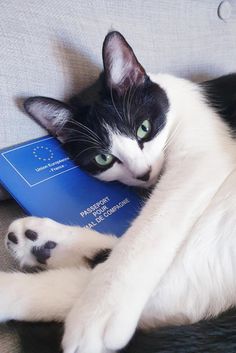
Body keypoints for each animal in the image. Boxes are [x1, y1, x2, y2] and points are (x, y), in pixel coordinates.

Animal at [1, 31, 236, 352]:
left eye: (143, 128)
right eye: (104, 158)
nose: (143, 173)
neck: (177, 104)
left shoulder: (203, 157)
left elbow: (149, 230)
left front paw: (99, 311)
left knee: (175, 286)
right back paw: (41, 243)